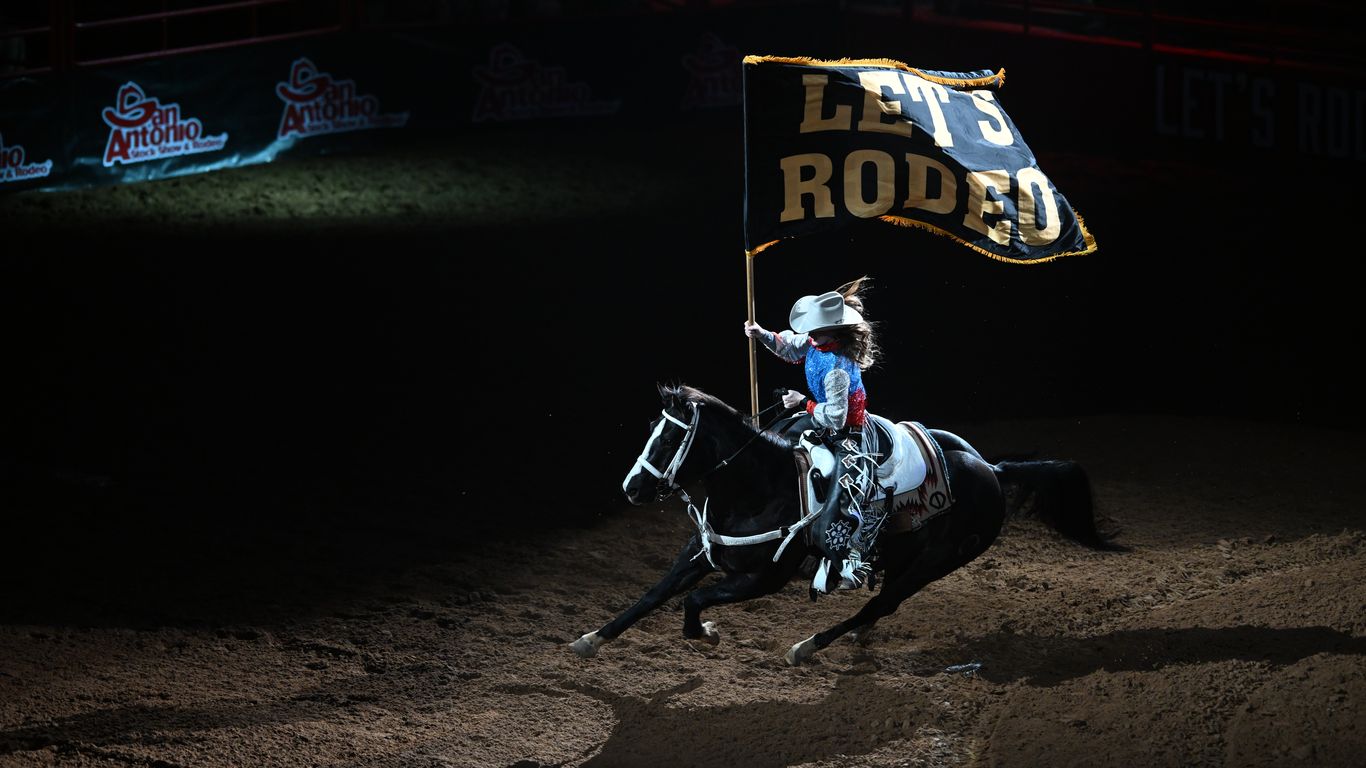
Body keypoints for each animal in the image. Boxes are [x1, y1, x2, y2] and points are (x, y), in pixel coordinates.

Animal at [570, 382, 1114, 664]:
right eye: (651, 429)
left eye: (668, 439)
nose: (631, 488)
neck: (762, 487)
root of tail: (993, 472)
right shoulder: (701, 553)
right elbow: (653, 596)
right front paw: (590, 639)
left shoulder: (765, 578)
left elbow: (694, 601)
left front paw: (707, 633)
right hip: (906, 556)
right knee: (881, 603)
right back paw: (854, 636)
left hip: (937, 563)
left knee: (883, 604)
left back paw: (809, 646)